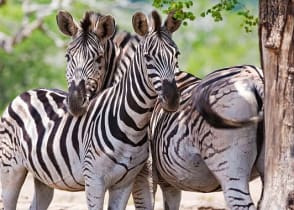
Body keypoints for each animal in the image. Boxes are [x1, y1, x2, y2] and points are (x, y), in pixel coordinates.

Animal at [0, 9, 181, 210]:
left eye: (177, 55)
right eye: (68, 57)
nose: (172, 99)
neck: (133, 124)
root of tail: (25, 93)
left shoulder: (126, 182)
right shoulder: (95, 180)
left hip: (44, 177)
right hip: (11, 170)